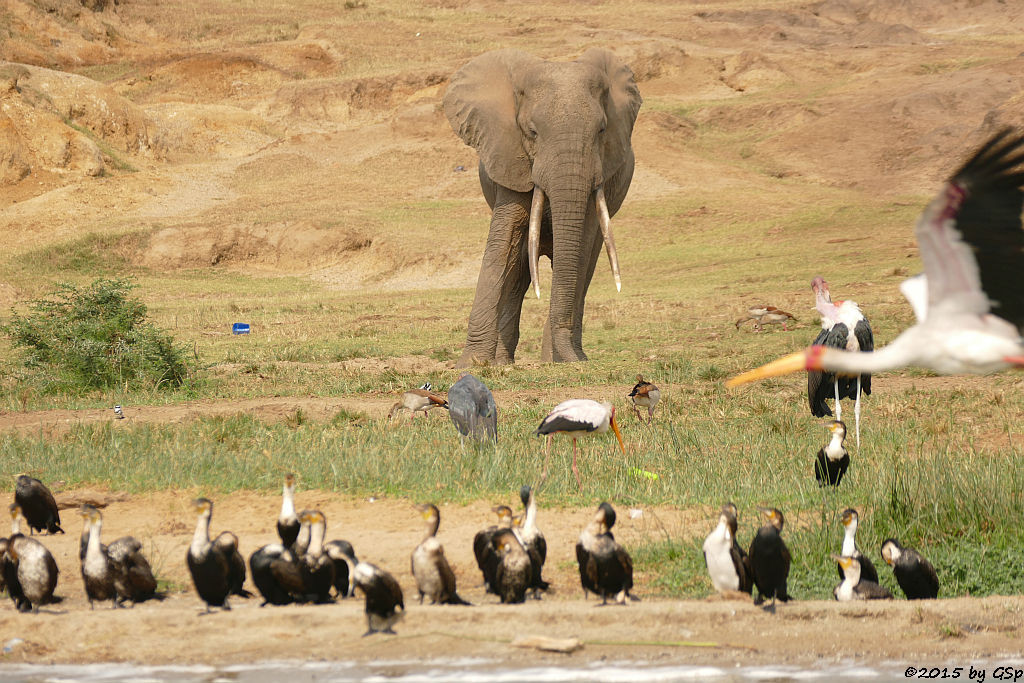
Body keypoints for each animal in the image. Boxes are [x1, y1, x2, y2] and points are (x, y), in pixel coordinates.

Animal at [446, 48, 643, 366]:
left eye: (601, 131)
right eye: (532, 132)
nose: (572, 361)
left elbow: (580, 246)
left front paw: (560, 361)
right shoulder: (509, 158)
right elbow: (503, 243)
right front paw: (473, 364)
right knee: (518, 272)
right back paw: (504, 362)